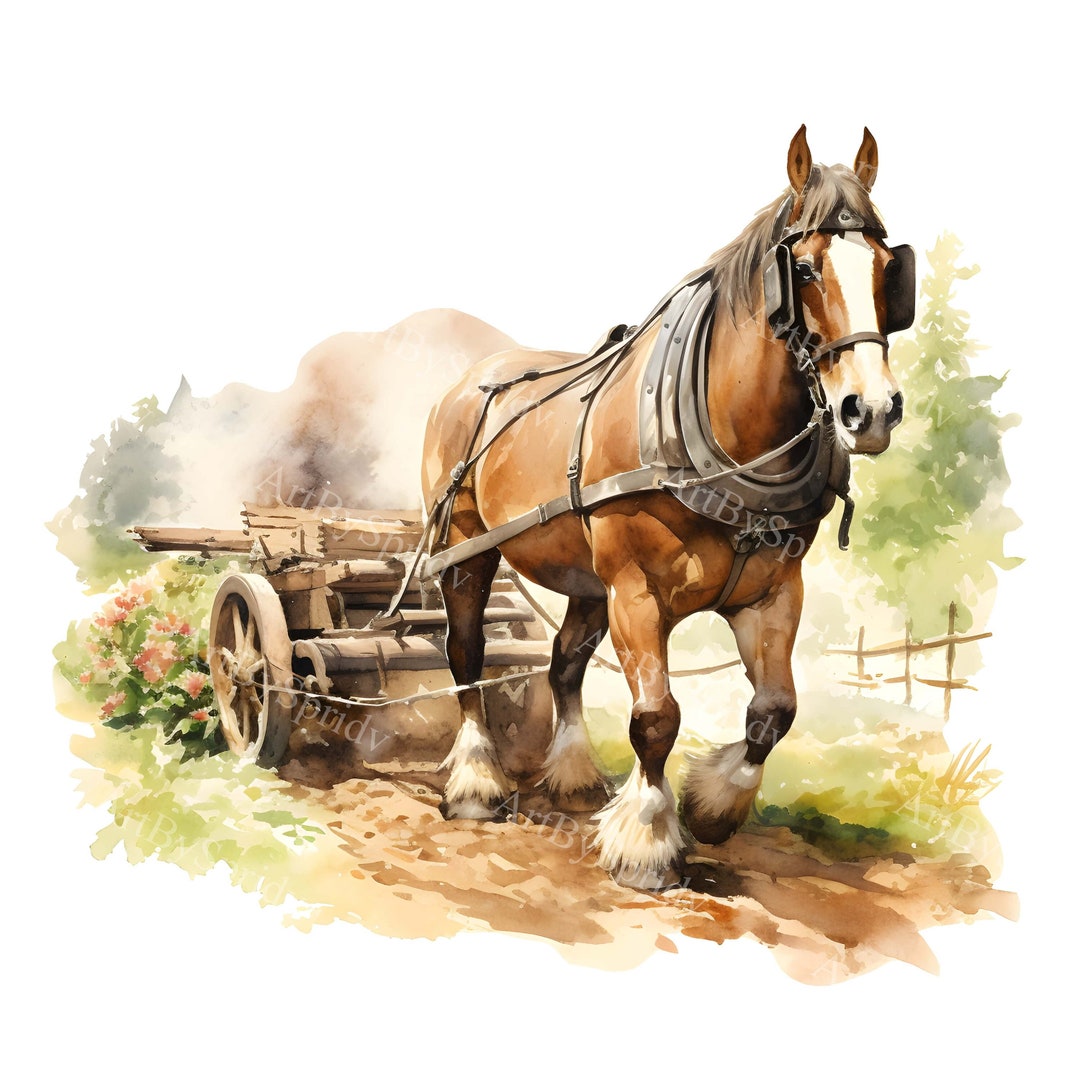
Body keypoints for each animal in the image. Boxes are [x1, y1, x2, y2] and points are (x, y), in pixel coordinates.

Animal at [417, 126, 914, 885]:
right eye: (803, 268)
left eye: (889, 270)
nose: (873, 409)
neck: (733, 445)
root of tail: (473, 380)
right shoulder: (636, 591)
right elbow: (656, 717)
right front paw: (648, 840)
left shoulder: (771, 592)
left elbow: (774, 710)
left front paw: (714, 807)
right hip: (467, 548)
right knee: (467, 653)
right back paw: (476, 782)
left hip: (584, 577)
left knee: (563, 663)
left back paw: (573, 775)